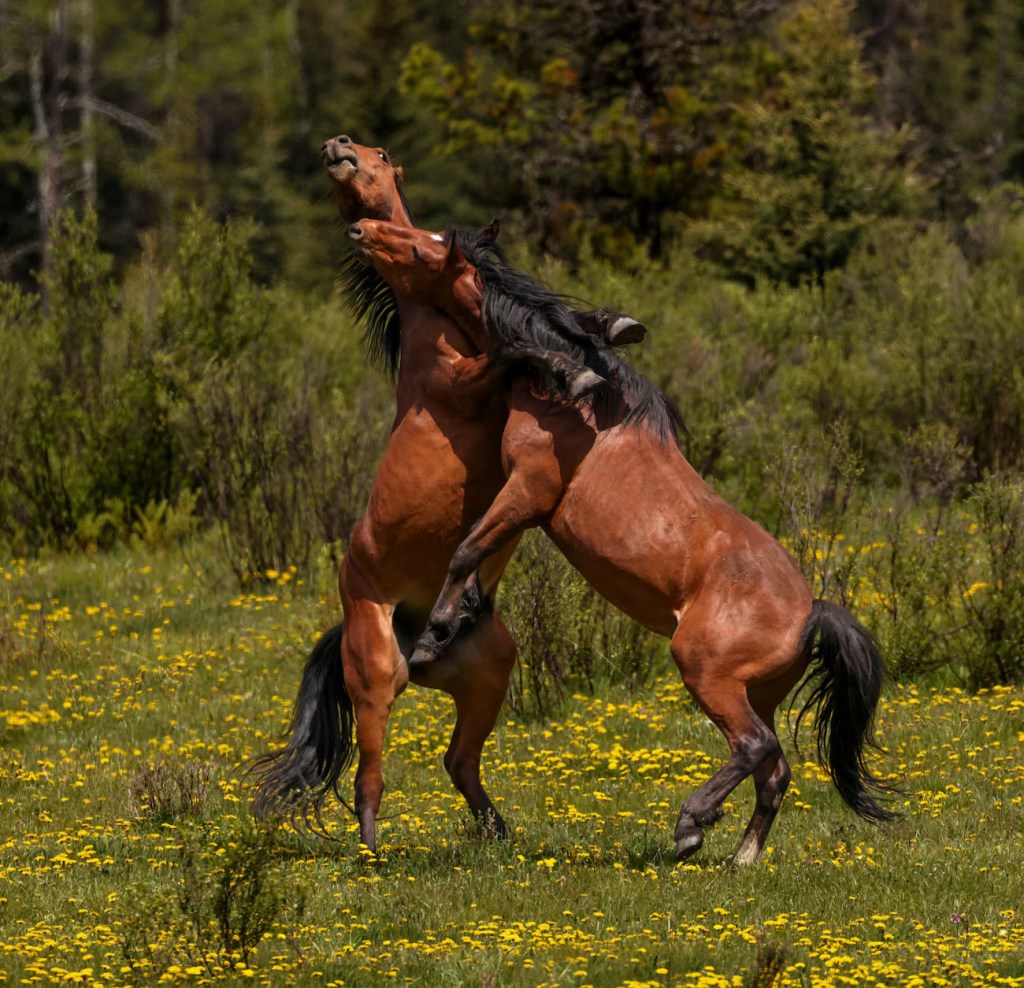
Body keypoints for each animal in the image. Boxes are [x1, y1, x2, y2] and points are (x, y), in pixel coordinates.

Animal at [251, 135, 650, 851]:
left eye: (379, 154)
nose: (337, 148)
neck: (430, 317)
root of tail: (408, 632)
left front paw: (607, 326)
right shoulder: (463, 384)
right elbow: (515, 349)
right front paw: (572, 369)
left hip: (489, 673)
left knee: (458, 760)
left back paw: (500, 834)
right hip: (377, 679)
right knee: (370, 777)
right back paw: (373, 854)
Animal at [344, 217, 898, 864]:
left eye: (417, 247)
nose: (360, 229)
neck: (583, 405)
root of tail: (811, 613)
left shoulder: (528, 490)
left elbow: (465, 552)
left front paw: (434, 637)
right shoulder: (520, 501)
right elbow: (476, 553)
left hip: (706, 674)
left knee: (757, 747)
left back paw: (691, 824)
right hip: (755, 691)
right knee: (775, 769)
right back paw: (740, 858)